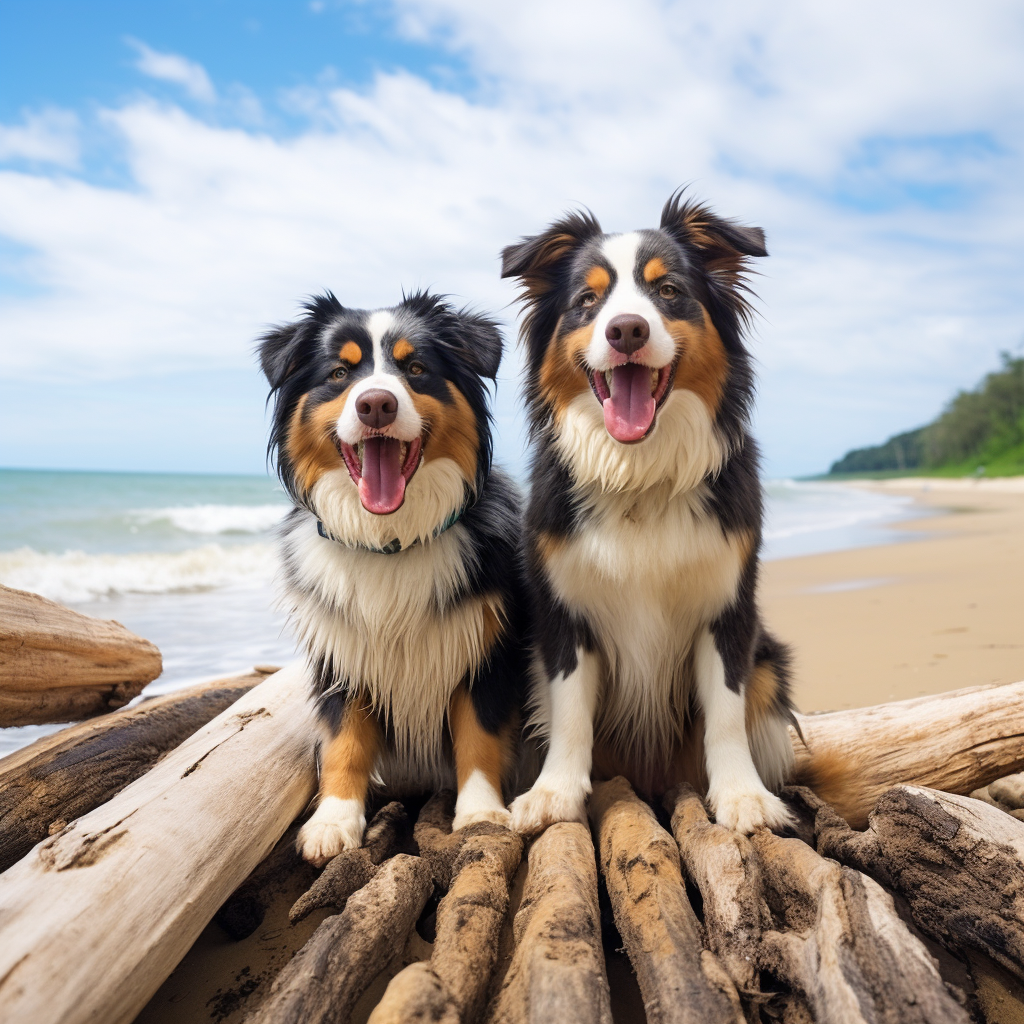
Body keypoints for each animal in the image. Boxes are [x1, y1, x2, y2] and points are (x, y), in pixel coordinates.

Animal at [256, 288, 528, 864]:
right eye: (340, 373)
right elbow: (345, 741)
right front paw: (334, 819)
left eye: (416, 369)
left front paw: (480, 813)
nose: (376, 403)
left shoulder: (485, 650)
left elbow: (479, 735)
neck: (390, 543)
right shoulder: (343, 654)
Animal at [503, 193, 798, 839]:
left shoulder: (728, 608)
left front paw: (743, 796)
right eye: (587, 301)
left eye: (668, 291)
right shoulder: (564, 614)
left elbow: (726, 713)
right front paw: (554, 792)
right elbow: (569, 709)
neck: (640, 474)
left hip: (770, 658)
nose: (626, 329)